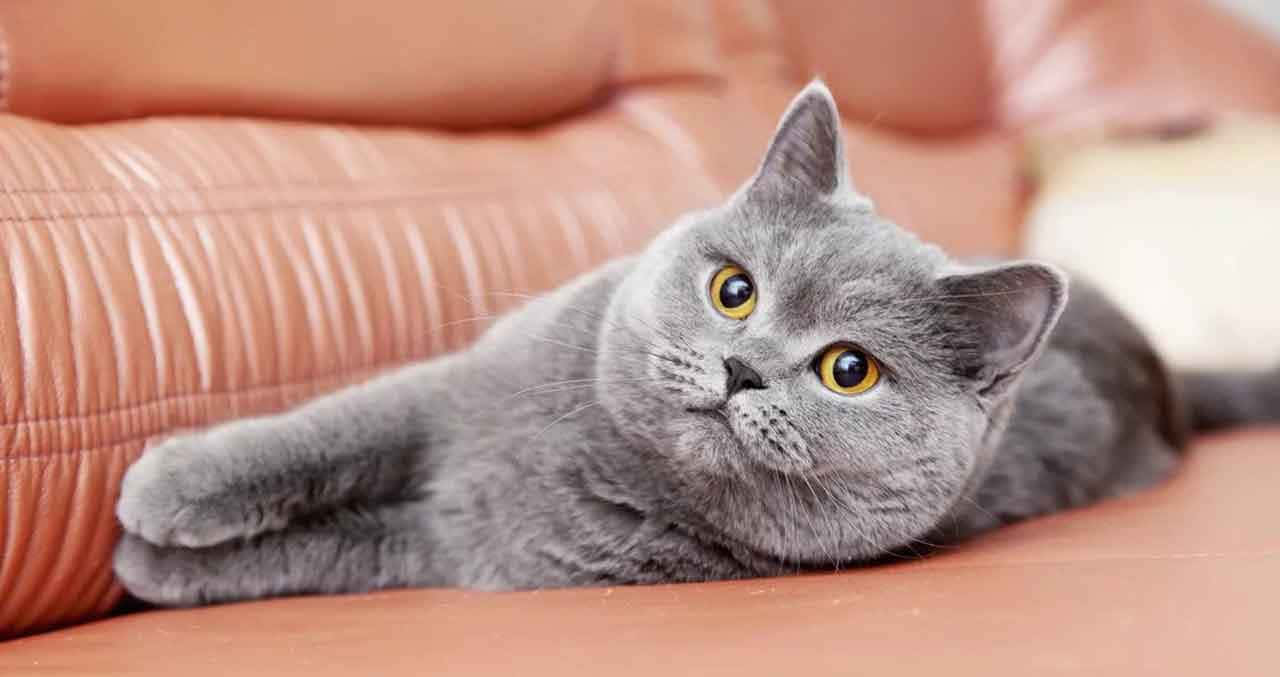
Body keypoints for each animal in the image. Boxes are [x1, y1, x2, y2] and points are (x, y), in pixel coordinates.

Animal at [115, 81, 1274, 604]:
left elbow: (331, 543)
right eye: (733, 290)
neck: (583, 450)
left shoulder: (472, 547)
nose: (742, 365)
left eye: (848, 369)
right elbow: (328, 429)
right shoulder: (451, 392)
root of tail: (1161, 368)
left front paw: (144, 555)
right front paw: (170, 488)